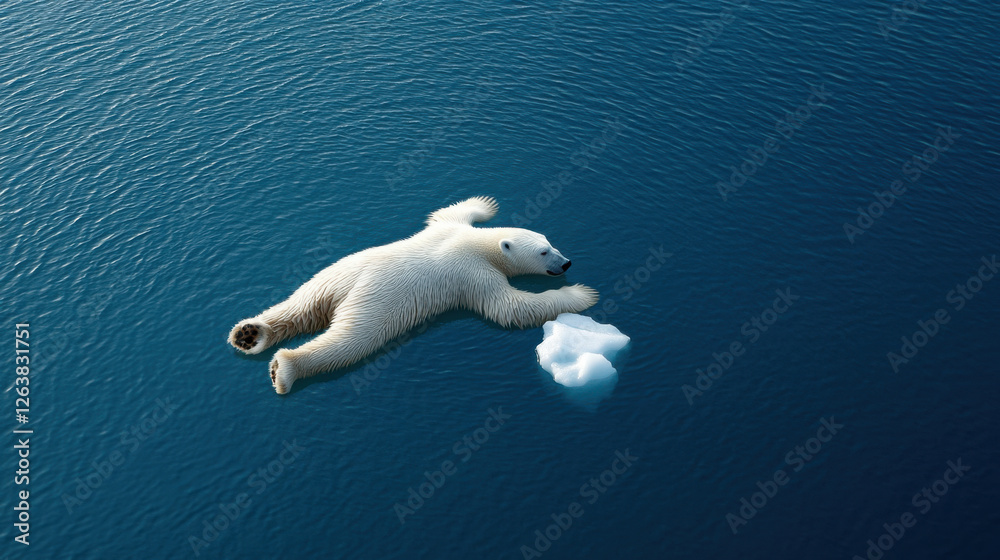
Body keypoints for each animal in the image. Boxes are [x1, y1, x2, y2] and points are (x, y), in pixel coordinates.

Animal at [229, 196, 598, 394]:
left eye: (550, 242)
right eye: (543, 252)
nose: (566, 263)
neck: (478, 246)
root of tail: (347, 293)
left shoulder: (450, 227)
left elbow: (447, 212)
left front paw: (484, 203)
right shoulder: (476, 276)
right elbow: (511, 308)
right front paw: (581, 293)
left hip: (331, 276)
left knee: (300, 306)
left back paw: (250, 334)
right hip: (376, 305)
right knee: (348, 341)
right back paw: (284, 369)